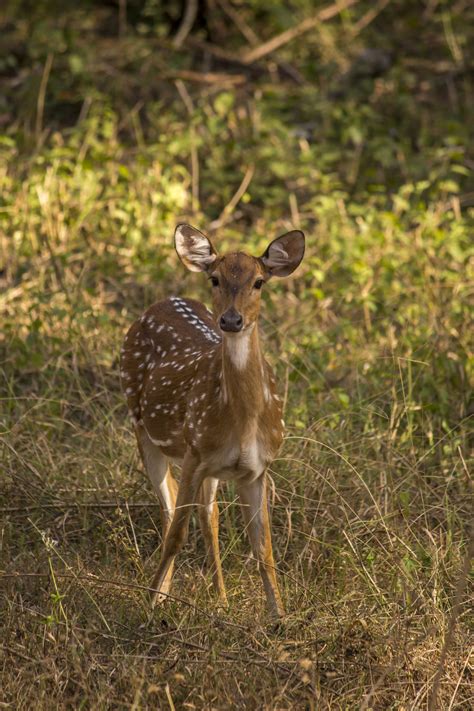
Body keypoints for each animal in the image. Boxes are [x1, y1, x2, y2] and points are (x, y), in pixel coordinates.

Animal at [118, 224, 304, 616]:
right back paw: (164, 593)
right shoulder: (195, 451)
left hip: (211, 467)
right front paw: (148, 604)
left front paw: (280, 617)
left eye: (259, 282)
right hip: (142, 424)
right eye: (215, 279)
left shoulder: (258, 468)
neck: (244, 423)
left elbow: (264, 548)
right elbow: (177, 534)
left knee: (208, 516)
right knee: (170, 507)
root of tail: (163, 300)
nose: (231, 320)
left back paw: (219, 597)